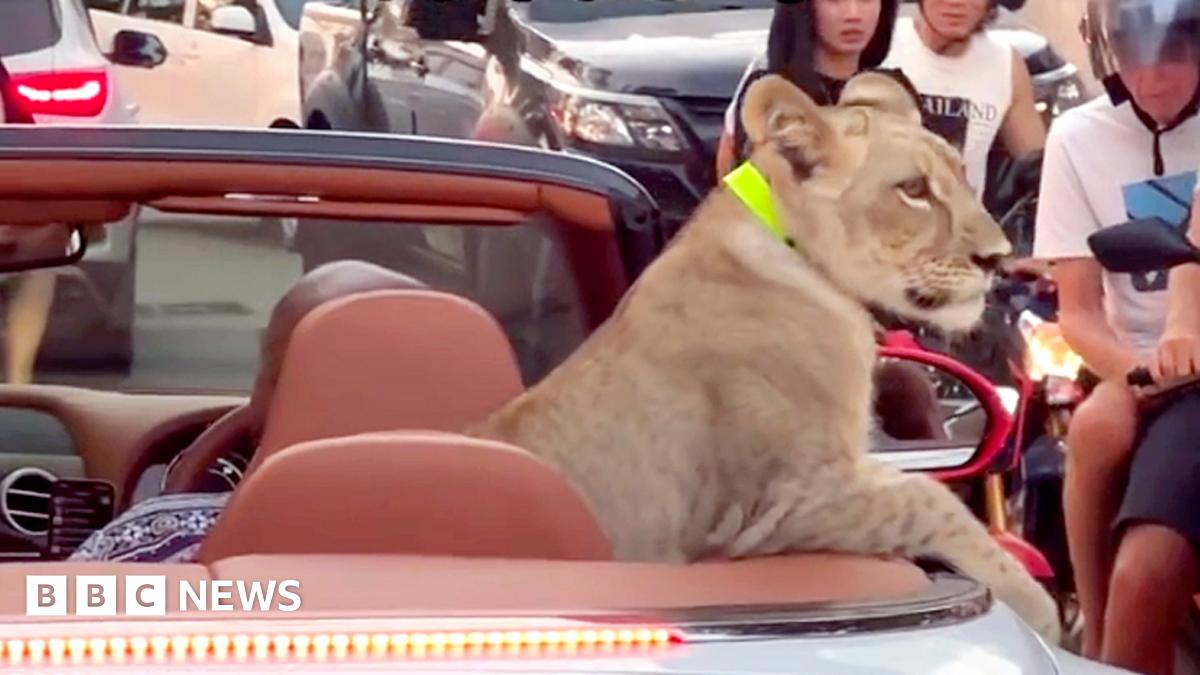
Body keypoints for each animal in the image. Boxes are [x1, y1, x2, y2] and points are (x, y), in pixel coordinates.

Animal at [468, 71, 1061, 643]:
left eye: (963, 176)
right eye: (913, 189)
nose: (999, 259)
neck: (799, 255)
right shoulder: (770, 506)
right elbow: (928, 498)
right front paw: (1038, 606)